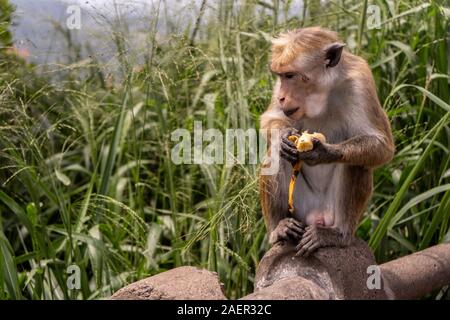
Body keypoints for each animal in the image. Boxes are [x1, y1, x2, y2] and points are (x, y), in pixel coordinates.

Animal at [260, 26, 394, 258]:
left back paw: (338, 234)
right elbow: (271, 118)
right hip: (299, 209)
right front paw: (285, 135)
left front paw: (322, 152)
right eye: (281, 76)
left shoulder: (361, 82)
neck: (321, 94)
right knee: (274, 155)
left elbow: (381, 146)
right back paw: (279, 227)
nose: (282, 97)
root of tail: (317, 216)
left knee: (356, 162)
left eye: (290, 75)